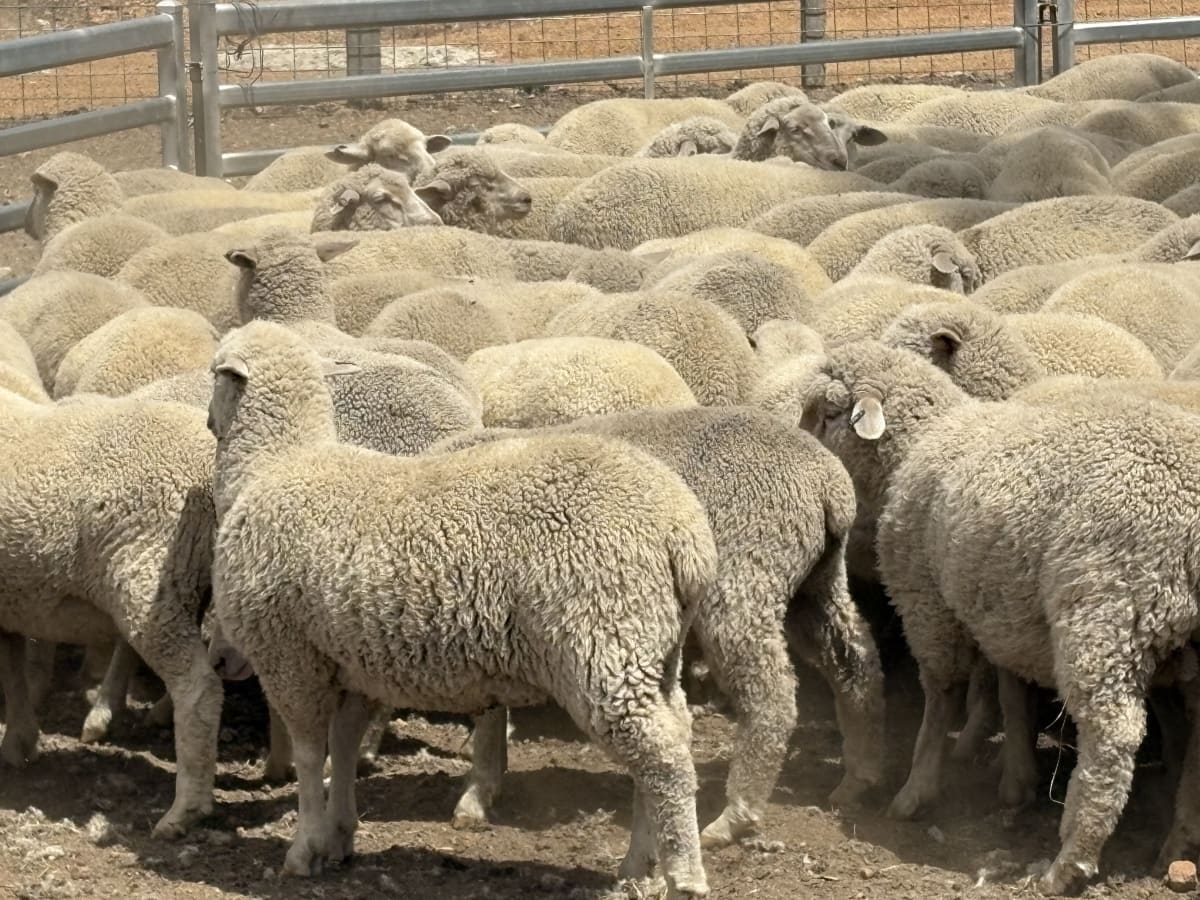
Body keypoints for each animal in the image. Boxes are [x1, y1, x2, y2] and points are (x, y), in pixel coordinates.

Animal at [0, 385, 220, 840]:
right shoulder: (9, 600)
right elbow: (11, 670)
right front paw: (18, 742)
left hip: (150, 580)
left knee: (199, 689)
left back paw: (184, 811)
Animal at [433, 405, 885, 848]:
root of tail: (829, 483)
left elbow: (488, 713)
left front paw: (476, 791)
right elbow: (491, 706)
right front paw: (483, 789)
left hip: (745, 575)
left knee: (770, 694)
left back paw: (734, 816)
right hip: (817, 580)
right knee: (855, 660)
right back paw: (857, 777)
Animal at [798, 339, 1200, 894]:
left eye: (826, 412)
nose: (795, 444)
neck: (919, 446)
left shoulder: (927, 601)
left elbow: (941, 697)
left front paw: (916, 790)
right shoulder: (1004, 613)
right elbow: (1010, 693)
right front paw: (1016, 779)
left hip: (1106, 614)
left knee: (1111, 738)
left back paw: (1069, 861)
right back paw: (1179, 841)